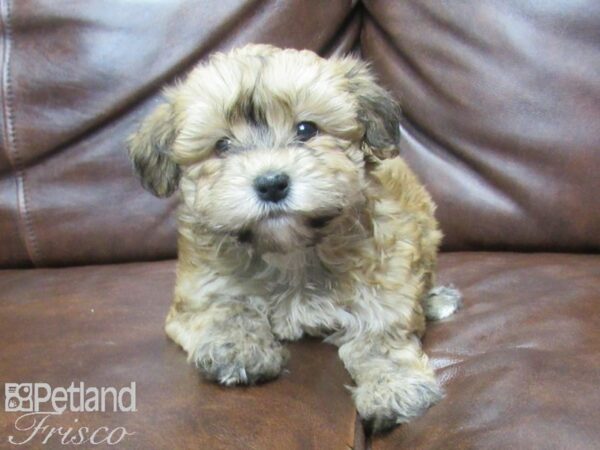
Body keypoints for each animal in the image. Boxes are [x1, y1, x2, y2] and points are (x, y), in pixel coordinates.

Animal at [129, 44, 462, 432]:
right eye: (222, 146)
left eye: (306, 129)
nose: (272, 183)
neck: (290, 250)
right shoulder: (197, 291)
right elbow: (225, 307)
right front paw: (238, 347)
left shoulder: (386, 268)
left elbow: (380, 333)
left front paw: (392, 385)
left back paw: (435, 299)